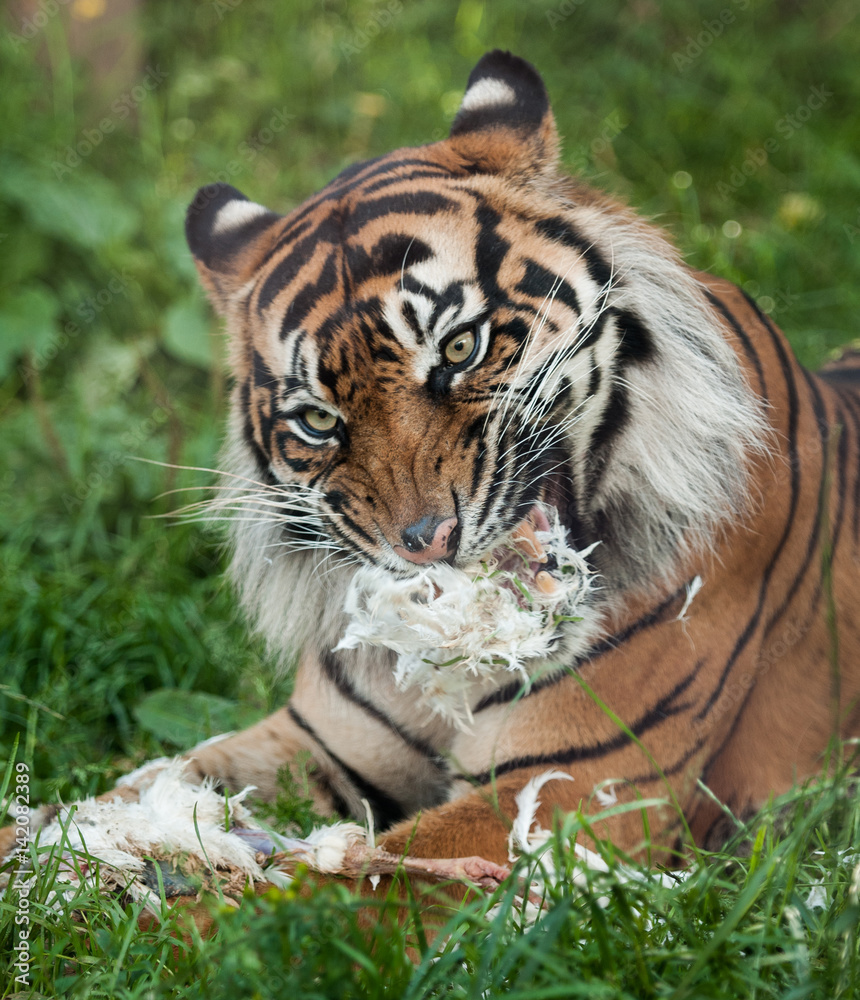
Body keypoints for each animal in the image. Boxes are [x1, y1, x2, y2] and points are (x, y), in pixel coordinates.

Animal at [6, 50, 860, 875]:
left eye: (460, 348)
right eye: (318, 420)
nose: (428, 544)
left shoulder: (572, 786)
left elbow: (362, 883)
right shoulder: (320, 740)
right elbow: (144, 785)